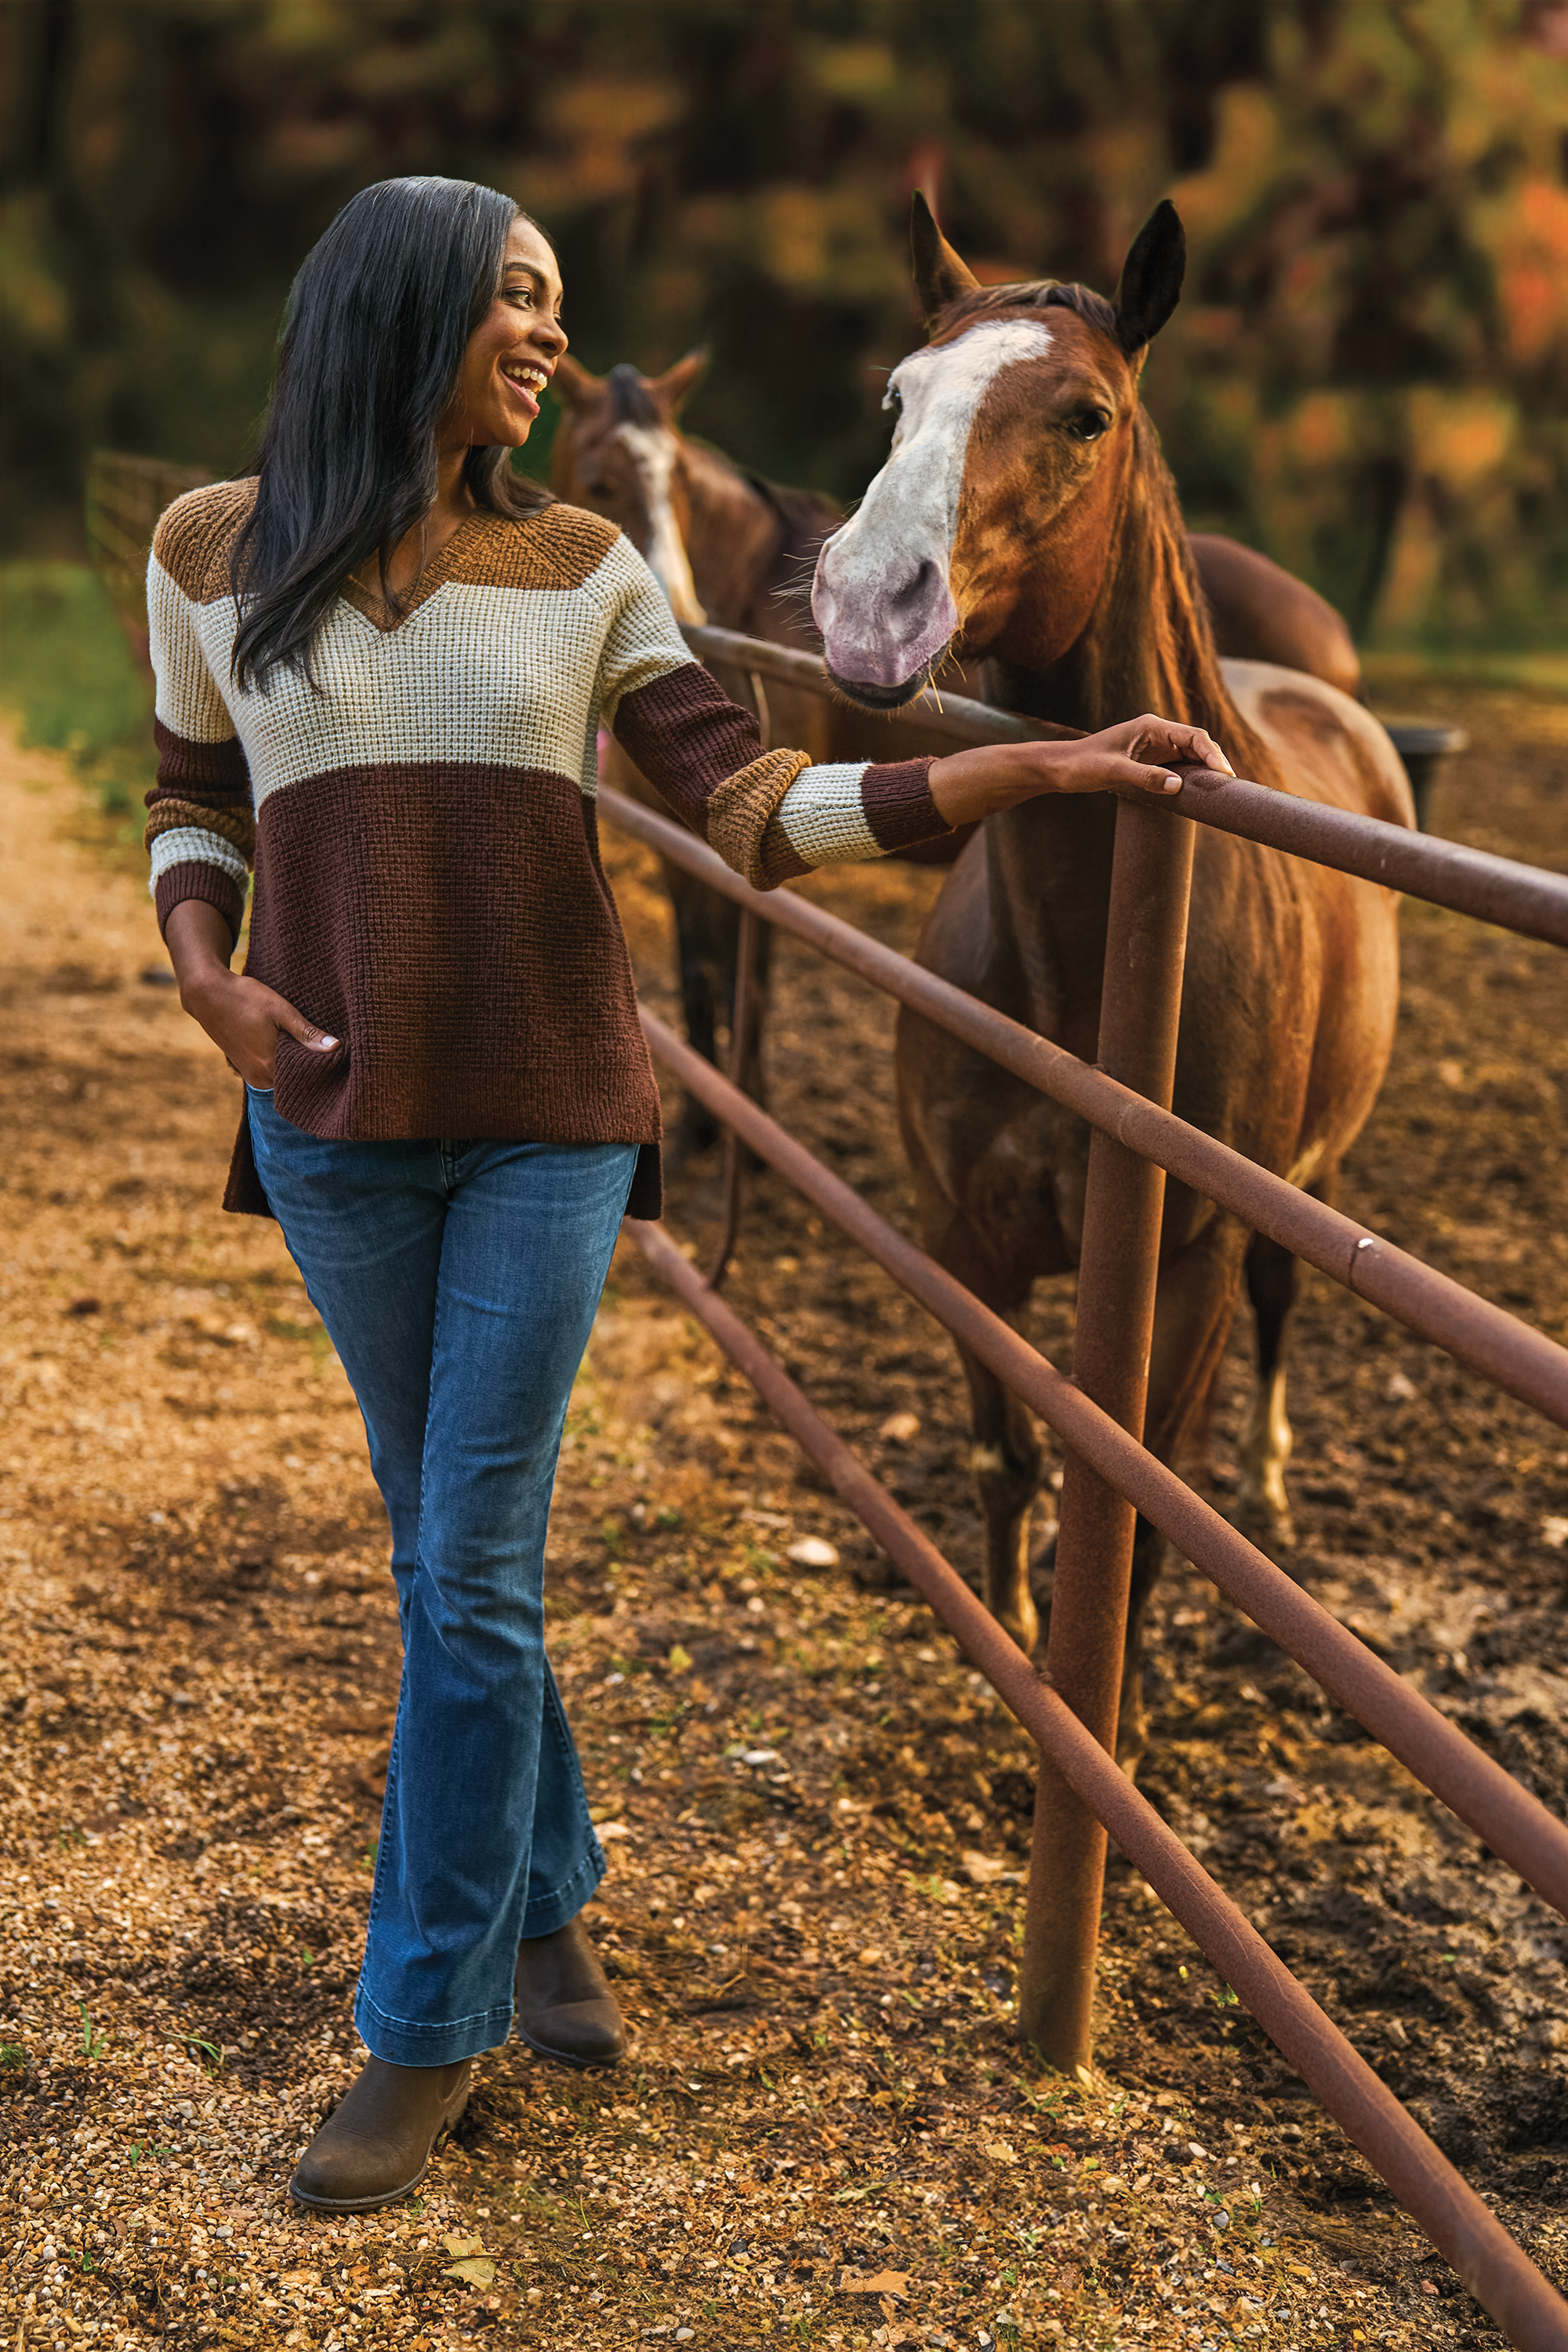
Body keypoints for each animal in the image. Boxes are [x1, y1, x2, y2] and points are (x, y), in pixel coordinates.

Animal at [550, 355, 1363, 1157]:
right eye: (599, 482)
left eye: (678, 482)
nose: (677, 609)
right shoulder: (675, 836)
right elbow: (698, 973)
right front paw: (698, 1125)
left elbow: (743, 976)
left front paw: (740, 1125)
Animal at [808, 202, 1410, 1769]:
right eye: (895, 399)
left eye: (1087, 416)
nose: (867, 605)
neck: (1080, 974)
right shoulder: (959, 1235)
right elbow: (1010, 1454)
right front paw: (1016, 1644)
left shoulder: (1181, 1272)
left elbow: (1138, 1512)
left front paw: (1110, 1728)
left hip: (1300, 1193)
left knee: (1282, 1309)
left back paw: (1271, 1477)